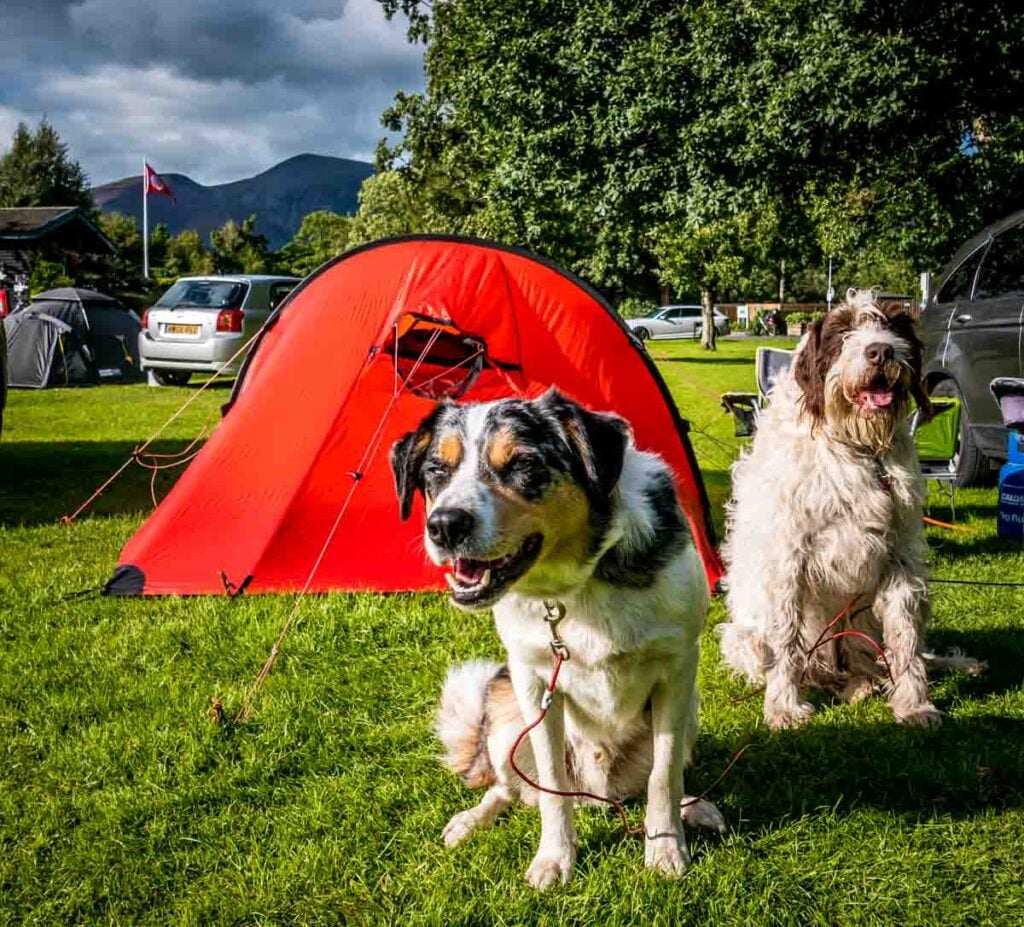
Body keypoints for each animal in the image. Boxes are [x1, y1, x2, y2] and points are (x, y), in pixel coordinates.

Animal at [720, 288, 950, 729]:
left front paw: (915, 704)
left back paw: (870, 682)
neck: (856, 447)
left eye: (893, 326)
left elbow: (907, 638)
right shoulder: (788, 559)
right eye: (842, 332)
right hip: (743, 637)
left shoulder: (901, 556)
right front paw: (784, 708)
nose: (880, 351)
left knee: (869, 658)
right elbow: (787, 640)